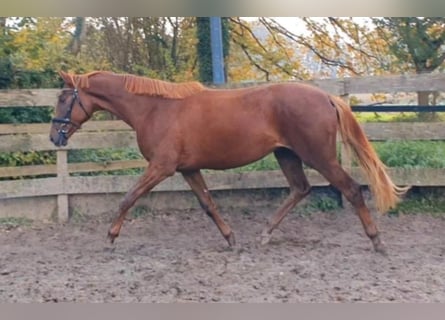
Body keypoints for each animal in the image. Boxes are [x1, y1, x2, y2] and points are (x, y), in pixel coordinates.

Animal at [48, 71, 406, 254]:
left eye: (64, 98)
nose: (54, 137)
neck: (155, 109)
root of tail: (326, 97)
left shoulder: (161, 167)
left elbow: (128, 198)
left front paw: (110, 237)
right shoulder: (187, 169)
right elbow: (208, 205)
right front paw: (231, 239)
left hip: (318, 155)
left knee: (350, 189)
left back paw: (377, 241)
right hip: (287, 154)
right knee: (300, 189)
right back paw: (264, 235)